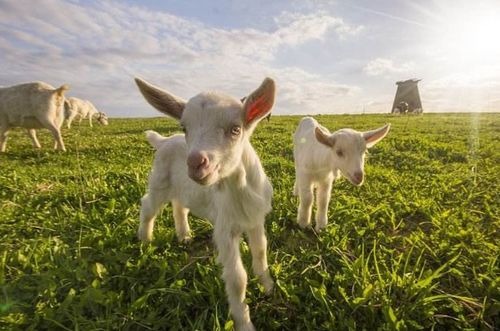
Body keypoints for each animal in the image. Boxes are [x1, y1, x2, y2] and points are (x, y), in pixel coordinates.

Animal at [135, 76, 276, 330]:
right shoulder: (225, 228)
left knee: (179, 205)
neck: (239, 191)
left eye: (235, 129)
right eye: (185, 127)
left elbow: (261, 252)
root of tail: (163, 141)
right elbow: (237, 278)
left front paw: (268, 287)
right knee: (149, 205)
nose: (195, 163)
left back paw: (184, 235)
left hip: (182, 188)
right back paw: (145, 239)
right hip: (159, 181)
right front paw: (244, 322)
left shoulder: (256, 218)